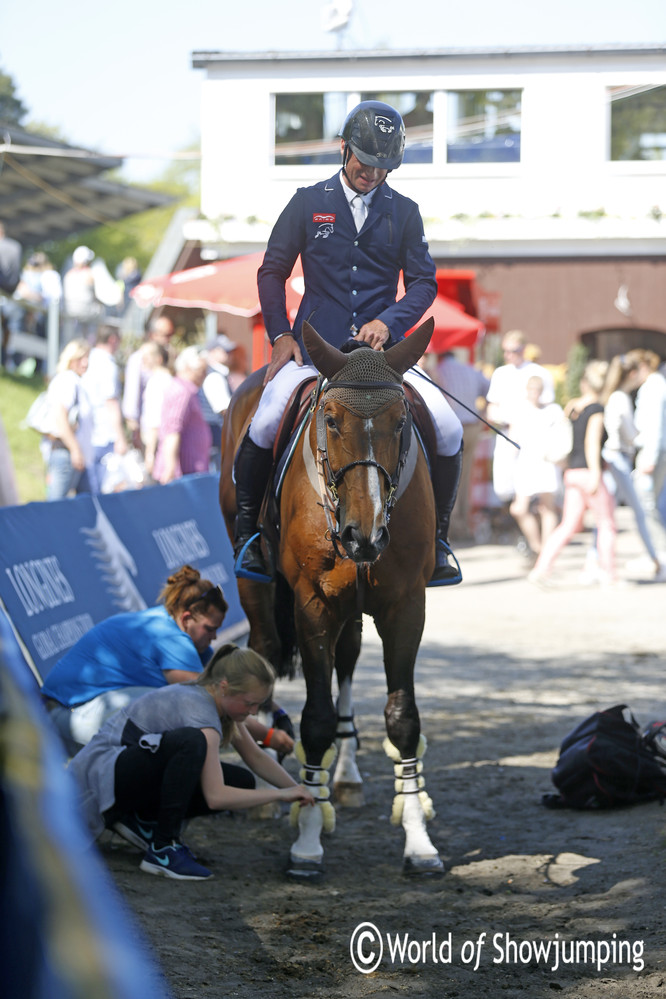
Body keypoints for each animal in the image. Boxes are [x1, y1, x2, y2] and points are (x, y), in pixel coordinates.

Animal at [220, 318, 444, 876]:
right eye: (331, 419)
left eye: (401, 422)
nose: (364, 536)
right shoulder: (314, 604)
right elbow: (315, 719)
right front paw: (307, 838)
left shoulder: (406, 606)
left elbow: (402, 718)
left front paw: (418, 839)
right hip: (256, 582)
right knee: (264, 650)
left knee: (347, 658)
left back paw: (345, 779)